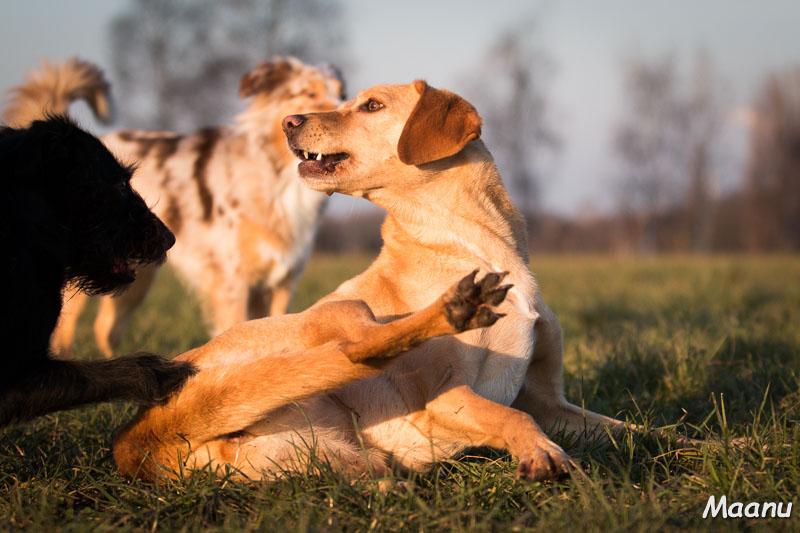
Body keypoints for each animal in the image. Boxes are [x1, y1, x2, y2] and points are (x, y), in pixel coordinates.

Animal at [114, 80, 624, 482]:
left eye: (372, 105)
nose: (287, 121)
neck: (470, 244)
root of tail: (135, 440)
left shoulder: (550, 402)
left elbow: (623, 431)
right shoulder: (444, 397)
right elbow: (513, 417)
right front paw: (542, 453)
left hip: (334, 455)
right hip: (332, 311)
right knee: (358, 348)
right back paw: (452, 309)